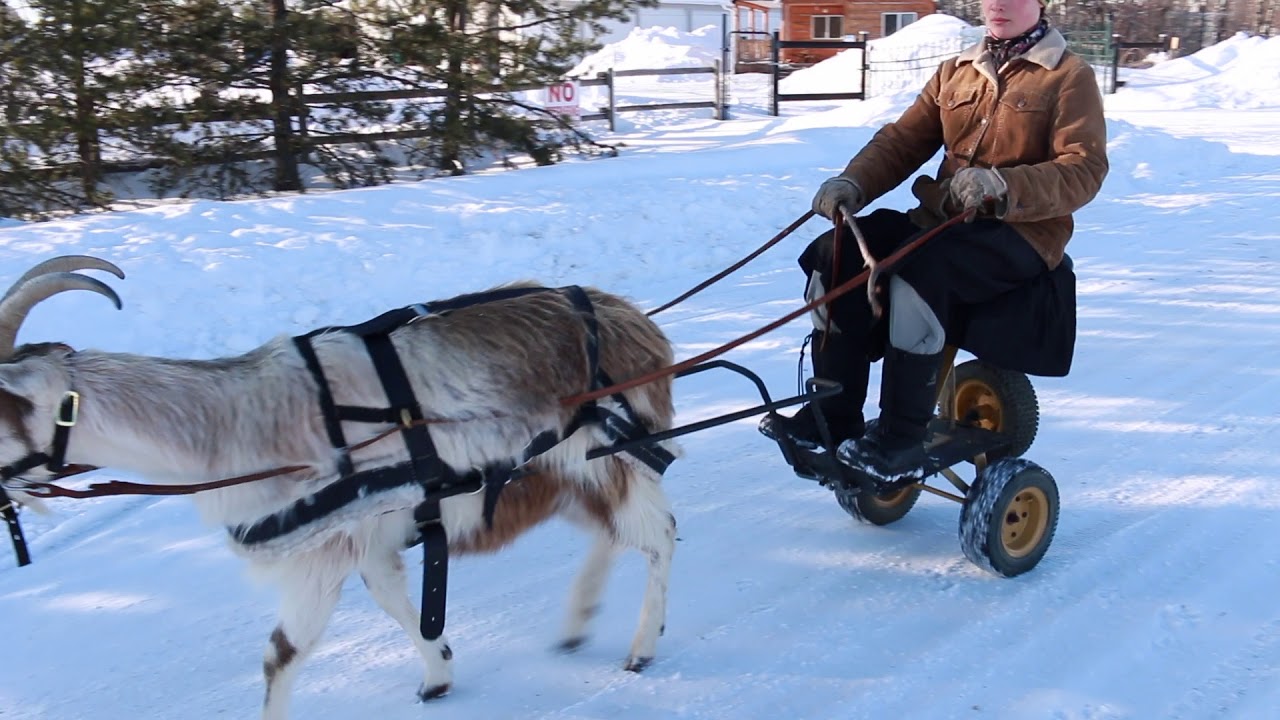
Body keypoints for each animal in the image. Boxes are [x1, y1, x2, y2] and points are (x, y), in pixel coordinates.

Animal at [0, 254, 680, 712]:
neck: (231, 424)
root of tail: (636, 323)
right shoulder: (372, 537)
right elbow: (394, 601)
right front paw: (438, 676)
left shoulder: (322, 553)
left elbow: (281, 653)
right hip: (561, 474)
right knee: (613, 530)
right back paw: (578, 621)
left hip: (607, 454)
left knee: (658, 534)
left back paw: (642, 646)